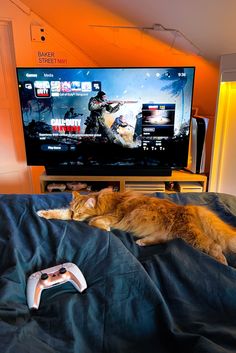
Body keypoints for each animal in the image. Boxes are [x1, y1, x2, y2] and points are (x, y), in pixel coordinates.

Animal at [37, 190, 236, 264]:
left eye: (79, 213)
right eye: (74, 212)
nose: (75, 217)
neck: (102, 201)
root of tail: (188, 207)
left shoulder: (112, 216)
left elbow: (95, 222)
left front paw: (105, 229)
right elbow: (59, 213)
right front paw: (43, 213)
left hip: (191, 236)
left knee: (215, 247)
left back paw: (224, 264)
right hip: (174, 232)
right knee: (163, 239)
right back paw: (142, 242)